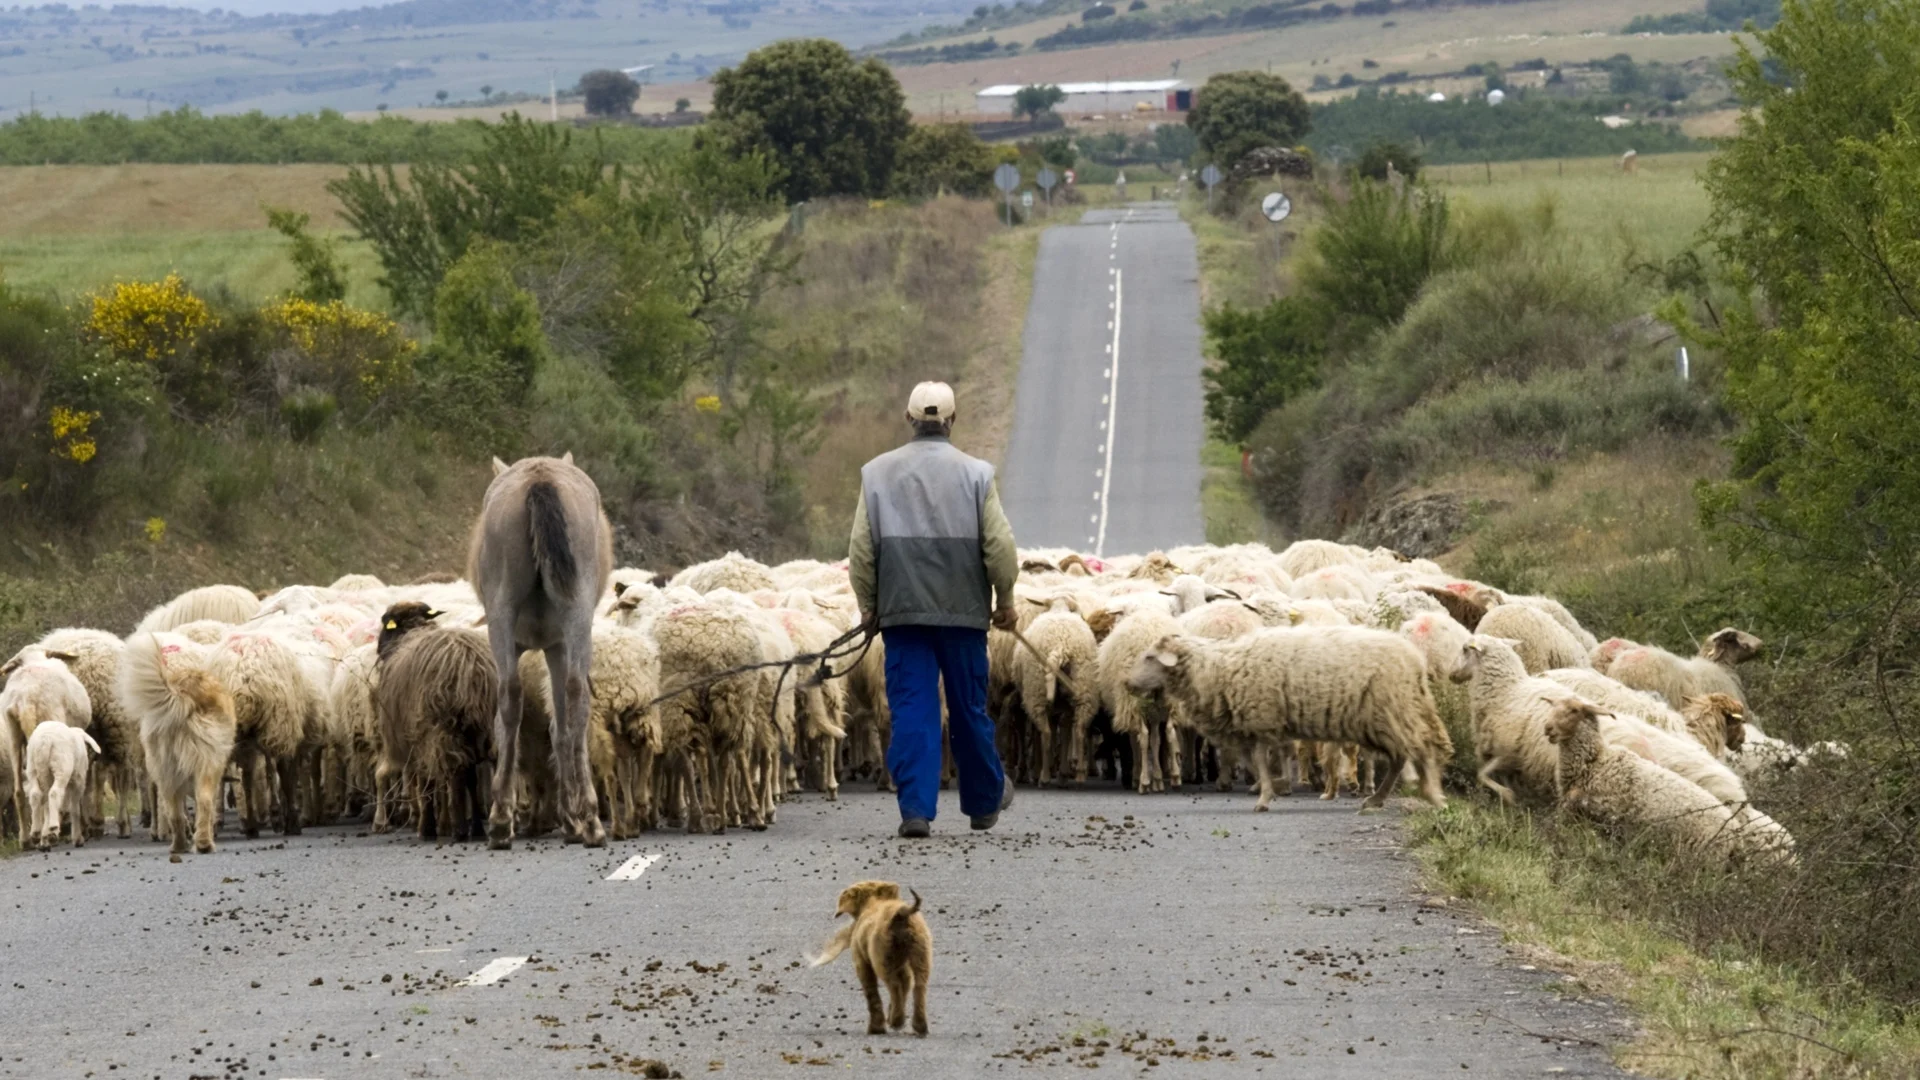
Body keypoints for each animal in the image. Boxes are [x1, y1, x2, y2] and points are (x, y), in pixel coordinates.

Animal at [119, 630, 237, 857]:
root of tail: (183, 692)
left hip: (164, 767)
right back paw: (200, 844)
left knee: (175, 810)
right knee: (203, 801)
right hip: (206, 763)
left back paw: (182, 845)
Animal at [806, 876, 933, 1037]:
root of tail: (900, 914)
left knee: (894, 986)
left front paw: (876, 1028)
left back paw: (897, 1021)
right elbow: (906, 984)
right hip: (921, 953)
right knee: (919, 987)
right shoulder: (902, 964)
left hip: (882, 958)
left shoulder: (861, 961)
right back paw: (919, 1026)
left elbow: (871, 992)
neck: (873, 903)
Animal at [1121, 622, 1451, 807]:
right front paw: (1272, 788)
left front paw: (1266, 795)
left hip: (1390, 712)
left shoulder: (1261, 718)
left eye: (1150, 657)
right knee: (1402, 756)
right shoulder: (1257, 726)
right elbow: (1256, 761)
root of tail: (1415, 661)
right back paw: (1378, 799)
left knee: (1419, 751)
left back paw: (1433, 795)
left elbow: (1260, 761)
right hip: (1387, 717)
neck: (1216, 669)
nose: (1126, 683)